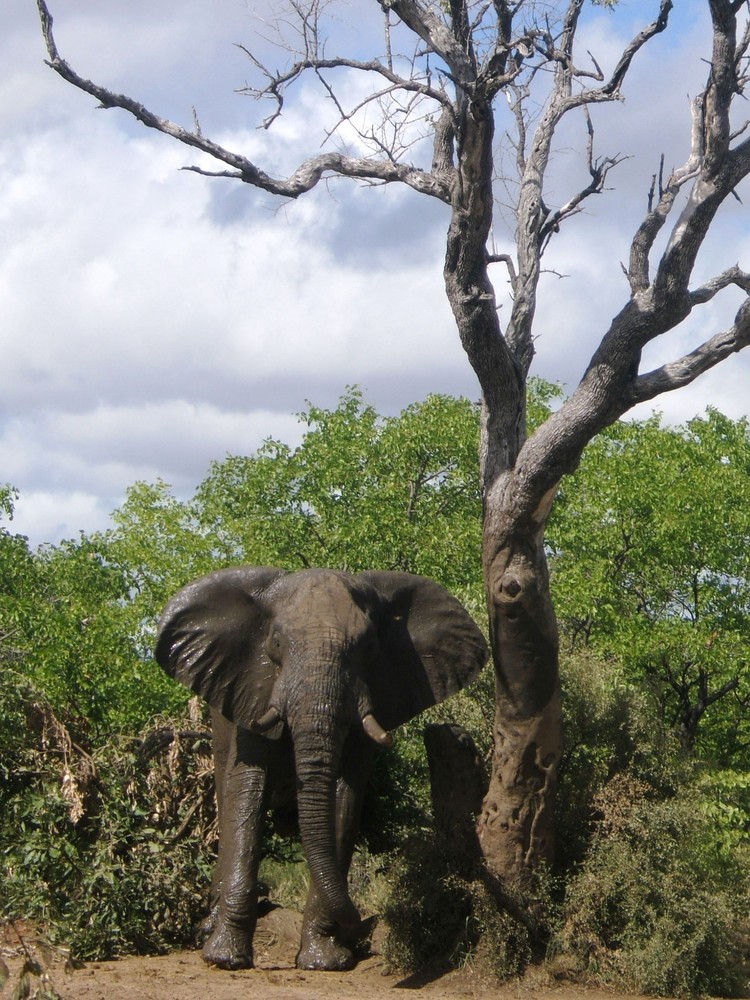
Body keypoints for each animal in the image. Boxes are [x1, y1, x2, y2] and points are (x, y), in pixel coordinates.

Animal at [156, 568, 490, 972]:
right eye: (277, 643)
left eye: (369, 647)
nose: (362, 920)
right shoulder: (251, 692)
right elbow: (247, 794)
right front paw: (224, 959)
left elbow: (343, 800)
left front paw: (325, 961)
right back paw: (207, 930)